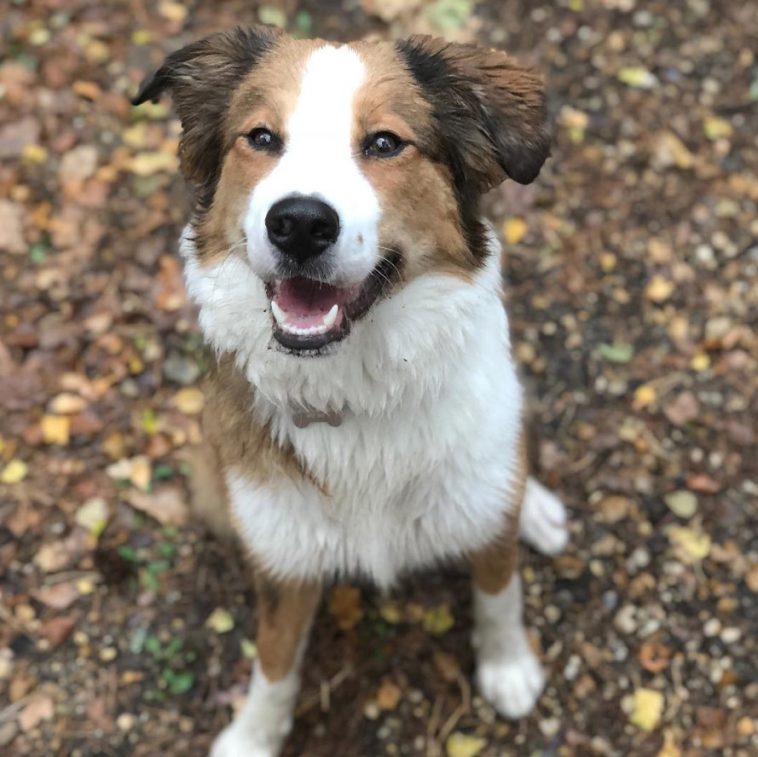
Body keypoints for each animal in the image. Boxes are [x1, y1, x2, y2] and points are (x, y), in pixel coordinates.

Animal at [132, 26, 568, 752]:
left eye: (386, 143)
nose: (300, 223)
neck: (357, 394)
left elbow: (498, 590)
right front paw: (253, 734)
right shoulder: (282, 557)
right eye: (261, 137)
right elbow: (274, 659)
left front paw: (509, 667)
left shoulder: (482, 518)